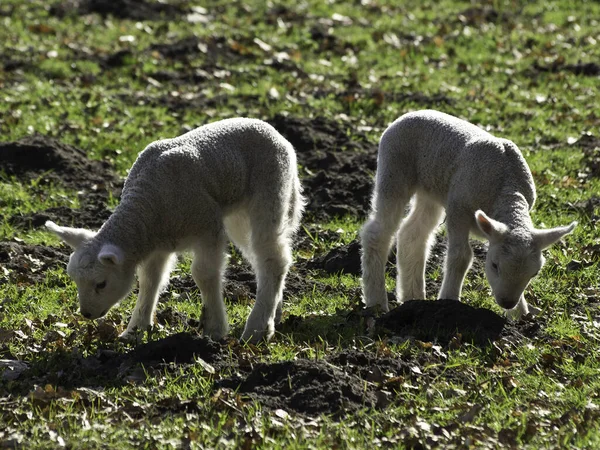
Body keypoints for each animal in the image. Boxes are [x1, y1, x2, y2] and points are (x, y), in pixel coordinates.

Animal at [45, 118, 304, 342]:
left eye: (101, 284)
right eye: (75, 280)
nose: (86, 314)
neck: (147, 208)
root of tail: (274, 132)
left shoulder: (207, 226)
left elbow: (204, 274)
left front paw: (215, 329)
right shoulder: (157, 243)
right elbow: (150, 281)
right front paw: (135, 330)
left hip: (271, 190)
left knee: (273, 257)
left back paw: (257, 329)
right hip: (238, 215)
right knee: (261, 259)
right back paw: (274, 313)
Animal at [360, 110, 576, 318]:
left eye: (533, 274)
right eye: (494, 265)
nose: (507, 302)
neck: (507, 190)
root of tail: (406, 115)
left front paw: (520, 316)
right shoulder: (459, 208)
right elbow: (461, 256)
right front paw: (449, 301)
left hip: (431, 189)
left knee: (413, 233)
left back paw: (413, 298)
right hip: (394, 170)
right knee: (378, 233)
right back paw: (377, 303)